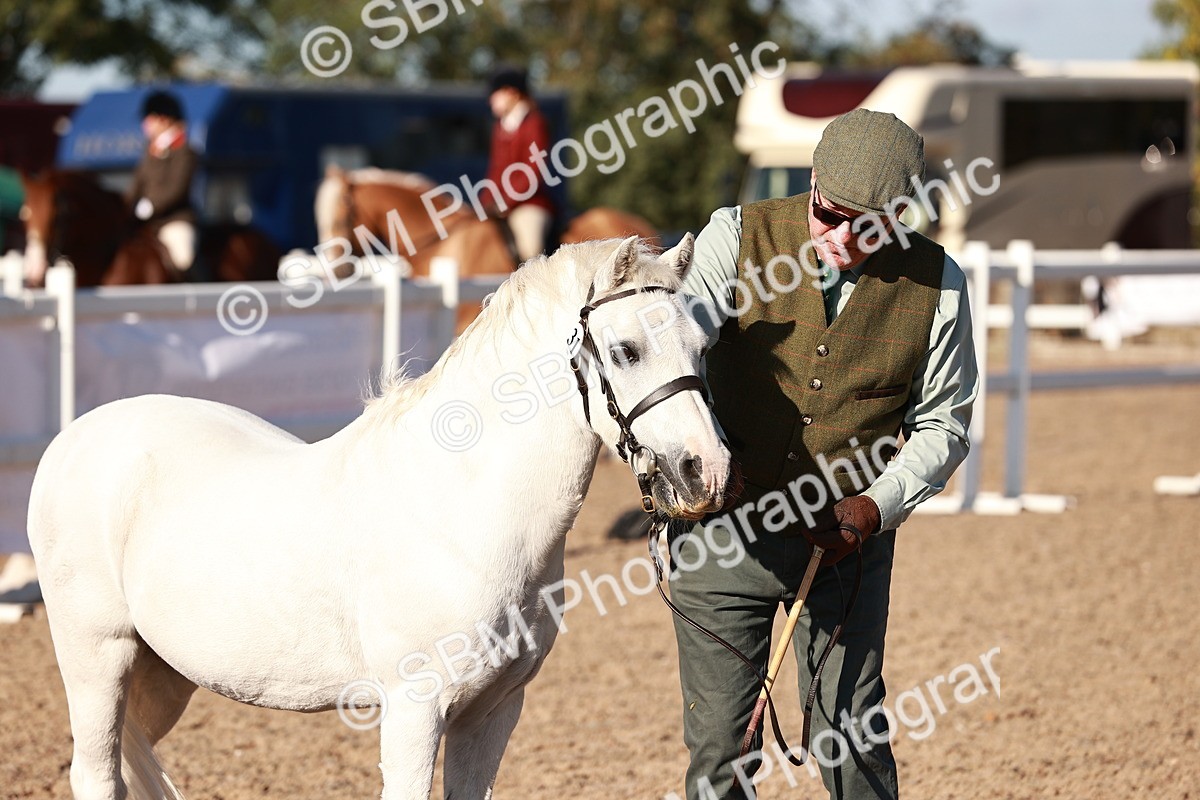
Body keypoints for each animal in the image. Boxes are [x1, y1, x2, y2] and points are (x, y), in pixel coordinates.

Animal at [28, 234, 733, 800]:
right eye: (626, 349)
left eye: (703, 344)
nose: (707, 470)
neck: (463, 509)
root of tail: (72, 440)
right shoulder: (413, 713)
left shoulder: (494, 711)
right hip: (97, 659)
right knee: (94, 773)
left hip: (162, 676)